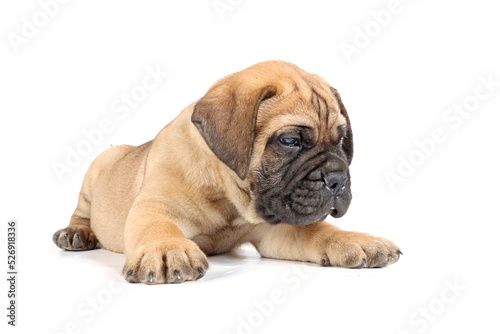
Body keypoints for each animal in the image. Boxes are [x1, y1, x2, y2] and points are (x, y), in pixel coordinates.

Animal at [52, 60, 400, 284]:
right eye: (290, 141)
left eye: (341, 140)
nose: (338, 179)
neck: (228, 197)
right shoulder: (156, 205)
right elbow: (155, 226)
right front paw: (166, 249)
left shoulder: (275, 230)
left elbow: (318, 230)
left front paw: (357, 240)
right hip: (97, 168)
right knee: (82, 212)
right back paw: (76, 233)